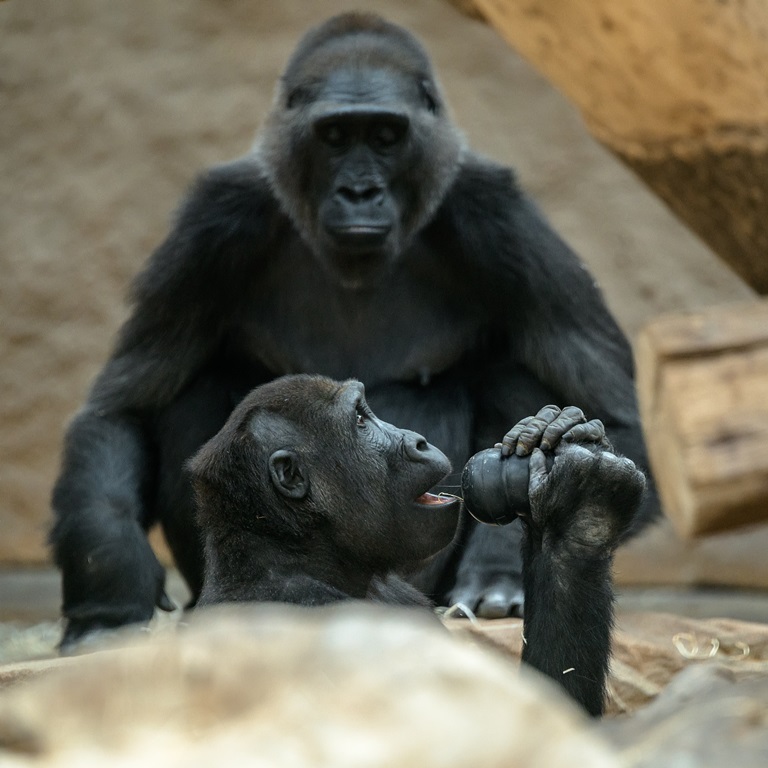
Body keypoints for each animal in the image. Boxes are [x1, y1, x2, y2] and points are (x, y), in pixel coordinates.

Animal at [49, 12, 660, 648]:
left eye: (386, 137)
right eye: (336, 137)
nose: (360, 193)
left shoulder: (497, 216)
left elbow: (617, 416)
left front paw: (515, 549)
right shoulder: (214, 223)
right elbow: (122, 412)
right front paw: (110, 590)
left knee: (509, 371)